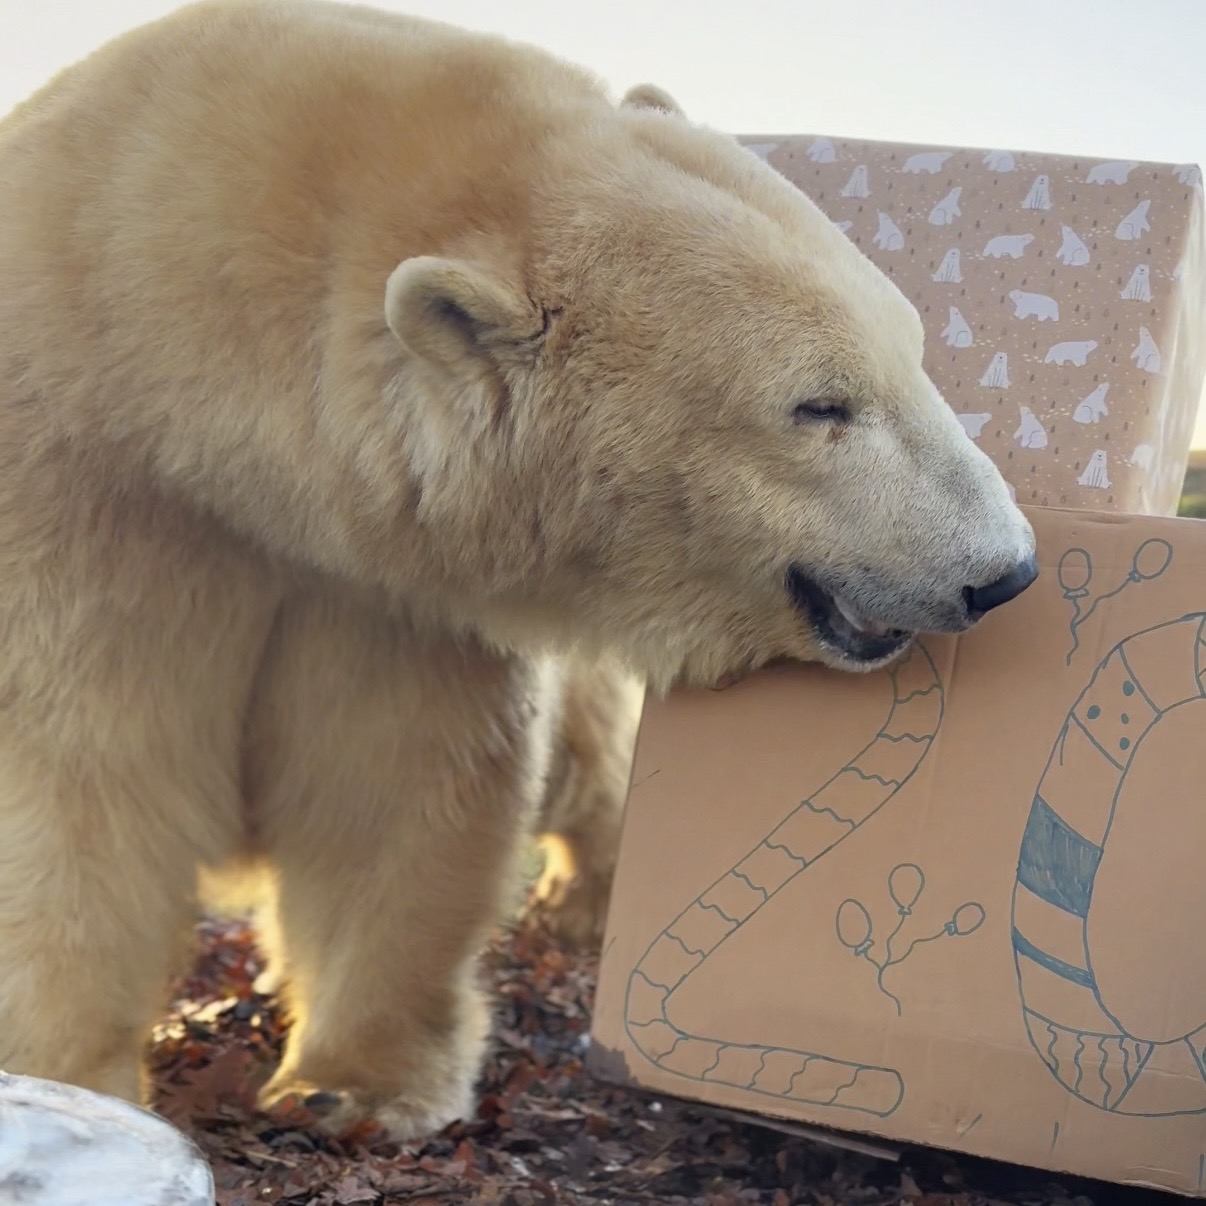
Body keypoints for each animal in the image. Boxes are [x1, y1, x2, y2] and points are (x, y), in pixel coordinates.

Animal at [0, 0, 1037, 1141]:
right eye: (821, 405)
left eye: (915, 353)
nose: (1004, 573)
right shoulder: (100, 497)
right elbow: (89, 772)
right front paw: (75, 1084)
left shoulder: (387, 591)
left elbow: (391, 780)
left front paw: (354, 1085)